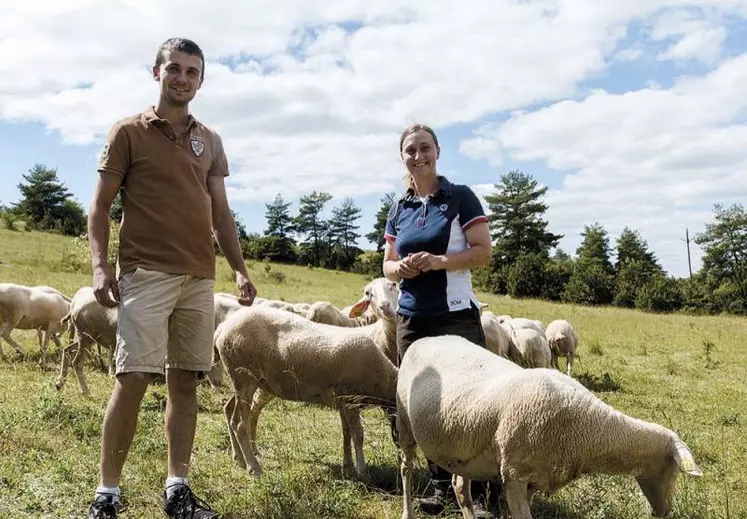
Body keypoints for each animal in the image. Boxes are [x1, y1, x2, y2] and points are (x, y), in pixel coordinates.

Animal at [216, 278, 404, 482]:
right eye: (369, 293)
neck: (382, 373)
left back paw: (239, 459)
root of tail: (222, 328)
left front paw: (348, 467)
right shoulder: (350, 399)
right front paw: (363, 472)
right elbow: (358, 436)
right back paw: (254, 468)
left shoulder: (342, 402)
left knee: (230, 412)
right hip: (243, 376)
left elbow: (346, 434)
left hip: (241, 379)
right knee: (240, 423)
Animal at [400, 334, 704, 519]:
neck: (588, 429)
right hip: (404, 421)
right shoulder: (514, 475)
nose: (664, 511)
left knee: (460, 487)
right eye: (674, 471)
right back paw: (407, 511)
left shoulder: (535, 480)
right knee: (406, 468)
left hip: (464, 446)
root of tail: (428, 338)